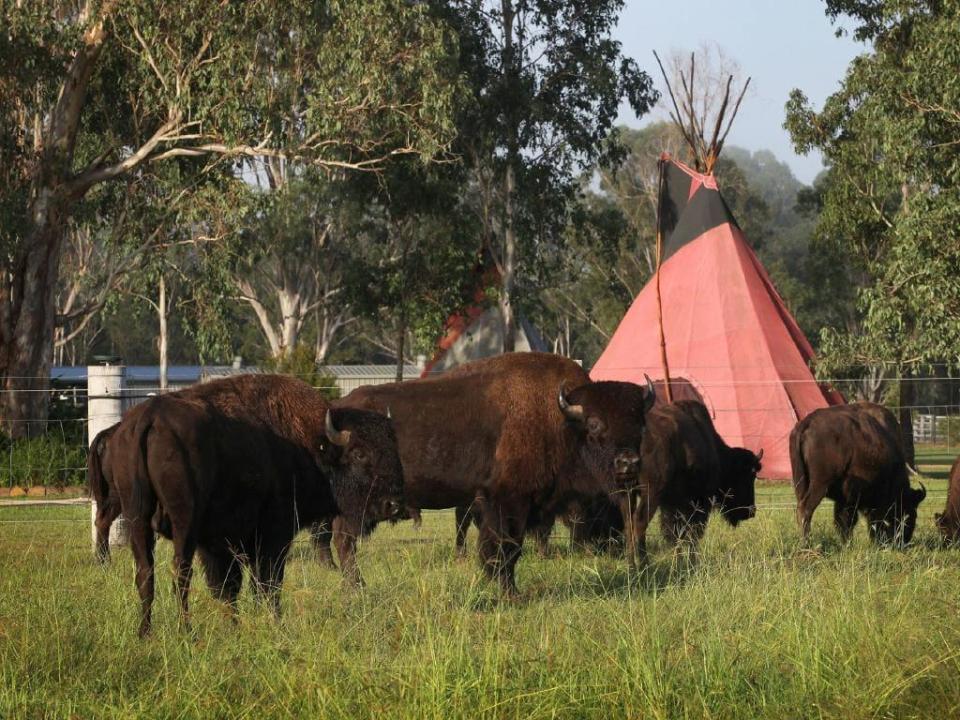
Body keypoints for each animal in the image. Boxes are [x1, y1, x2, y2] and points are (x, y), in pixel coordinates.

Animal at [103, 374, 404, 640]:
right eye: (360, 453)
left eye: (392, 449)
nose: (392, 504)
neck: (311, 442)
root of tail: (149, 417)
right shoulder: (273, 536)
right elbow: (267, 583)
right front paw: (274, 623)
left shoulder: (219, 544)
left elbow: (228, 587)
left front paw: (234, 626)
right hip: (183, 523)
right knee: (180, 572)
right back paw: (185, 631)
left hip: (136, 518)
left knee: (146, 572)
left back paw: (145, 632)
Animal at [334, 352, 656, 592]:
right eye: (594, 424)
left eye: (640, 424)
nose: (628, 463)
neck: (561, 420)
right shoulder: (508, 501)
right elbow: (506, 548)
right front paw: (510, 593)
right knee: (345, 542)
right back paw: (357, 587)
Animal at [788, 400, 924, 544]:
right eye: (909, 513)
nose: (905, 539)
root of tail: (807, 422)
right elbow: (858, 520)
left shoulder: (844, 499)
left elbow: (843, 520)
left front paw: (847, 542)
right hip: (820, 485)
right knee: (806, 509)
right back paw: (807, 541)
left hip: (801, 483)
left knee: (801, 508)